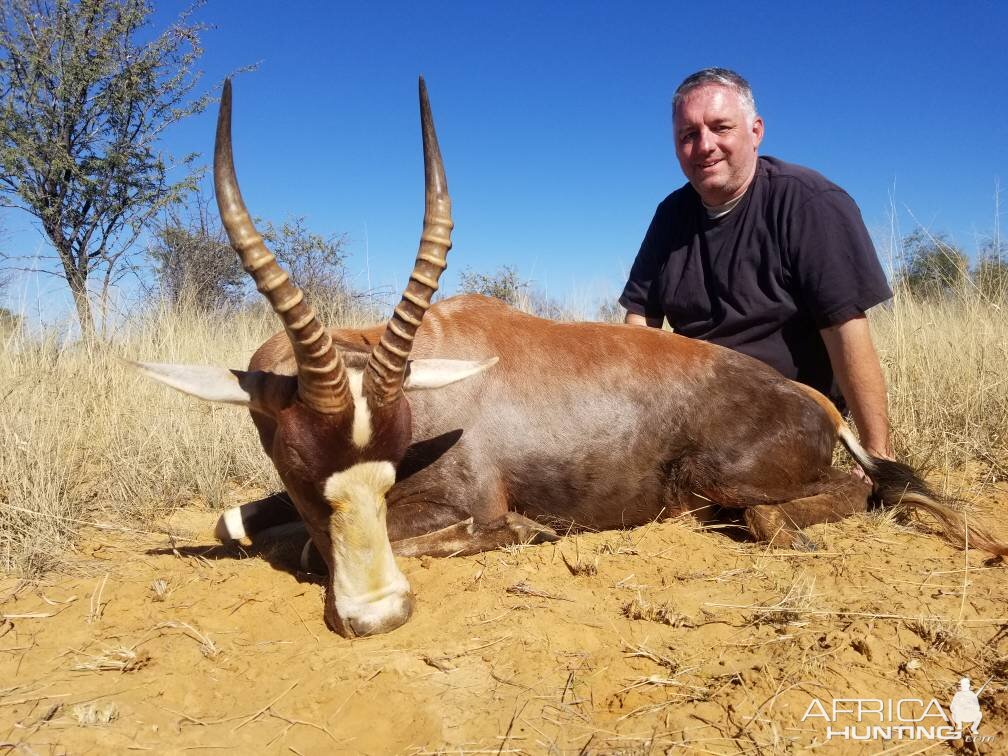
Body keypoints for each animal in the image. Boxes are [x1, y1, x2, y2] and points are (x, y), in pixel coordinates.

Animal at [136, 80, 1008, 641]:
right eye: (293, 463)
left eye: (389, 461)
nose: (380, 615)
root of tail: (814, 401)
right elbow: (235, 522)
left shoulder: (467, 504)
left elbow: (324, 546)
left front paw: (527, 533)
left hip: (724, 479)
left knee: (844, 495)